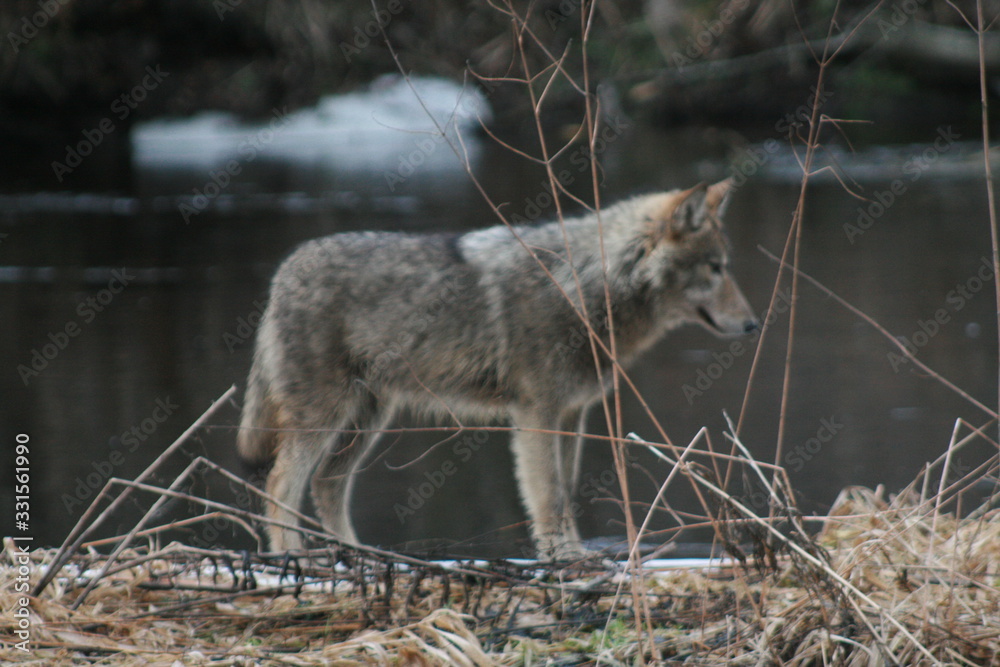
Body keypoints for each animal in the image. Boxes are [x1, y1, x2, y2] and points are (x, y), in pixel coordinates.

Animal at [237, 178, 758, 559]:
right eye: (715, 268)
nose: (754, 324)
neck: (587, 283)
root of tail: (285, 270)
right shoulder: (536, 416)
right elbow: (548, 497)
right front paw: (563, 561)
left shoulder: (572, 415)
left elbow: (566, 492)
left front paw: (573, 557)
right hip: (325, 419)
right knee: (280, 485)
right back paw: (293, 559)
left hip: (368, 420)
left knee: (326, 486)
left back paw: (366, 558)